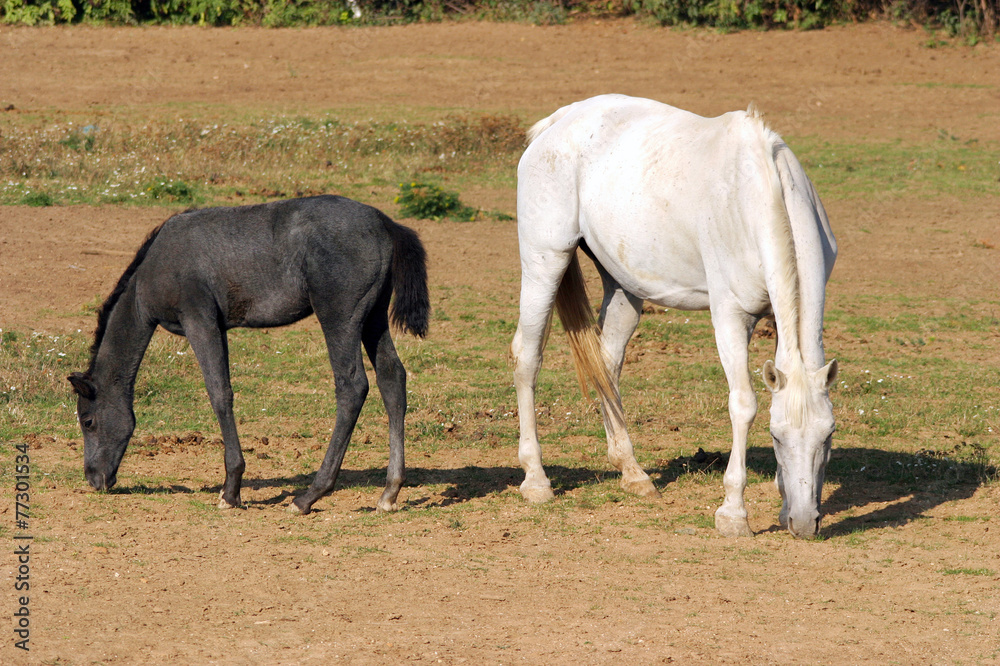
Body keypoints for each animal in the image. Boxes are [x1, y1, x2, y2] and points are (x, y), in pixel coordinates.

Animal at [68, 193, 428, 512]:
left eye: (88, 421)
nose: (94, 479)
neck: (153, 269)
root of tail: (385, 222)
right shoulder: (218, 327)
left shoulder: (199, 320)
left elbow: (219, 394)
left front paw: (230, 491)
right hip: (373, 318)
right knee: (392, 378)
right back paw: (389, 492)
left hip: (340, 317)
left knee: (352, 387)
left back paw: (309, 496)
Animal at [512, 94, 840, 540]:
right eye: (775, 436)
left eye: (829, 435)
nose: (806, 523)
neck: (758, 192)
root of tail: (555, 123)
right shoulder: (731, 317)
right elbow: (744, 404)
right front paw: (733, 514)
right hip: (544, 263)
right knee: (527, 358)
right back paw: (536, 480)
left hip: (623, 287)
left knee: (607, 366)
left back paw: (632, 472)